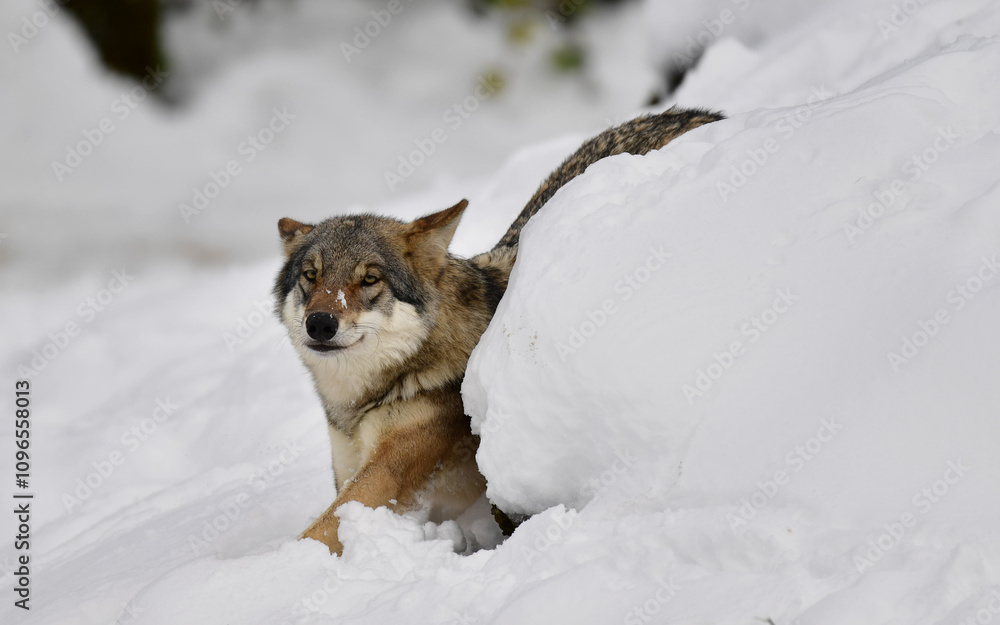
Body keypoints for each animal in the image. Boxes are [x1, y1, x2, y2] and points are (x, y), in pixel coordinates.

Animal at [274, 108, 723, 554]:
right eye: (311, 276)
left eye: (369, 279)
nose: (320, 323)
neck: (366, 398)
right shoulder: (347, 469)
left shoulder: (385, 475)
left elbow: (319, 531)